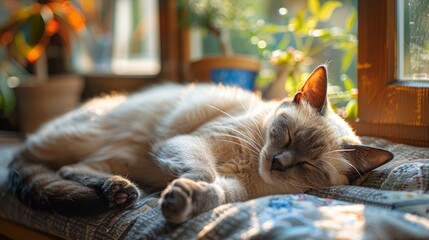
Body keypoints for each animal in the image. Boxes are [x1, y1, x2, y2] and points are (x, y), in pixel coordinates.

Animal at [7, 65, 392, 223]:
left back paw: (119, 193)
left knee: (70, 169)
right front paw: (181, 190)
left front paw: (181, 201)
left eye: (308, 165)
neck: (249, 169)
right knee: (35, 161)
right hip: (84, 136)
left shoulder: (235, 190)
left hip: (121, 158)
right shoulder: (190, 145)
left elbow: (214, 193)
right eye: (287, 136)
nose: (277, 162)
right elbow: (204, 173)